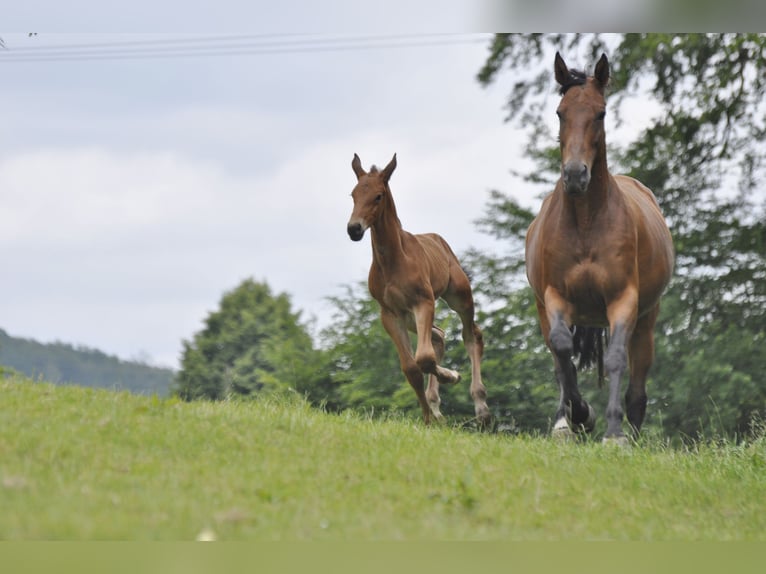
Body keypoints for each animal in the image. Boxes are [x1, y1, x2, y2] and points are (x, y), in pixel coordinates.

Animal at [346, 153, 491, 427]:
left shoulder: (423, 302)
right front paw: (428, 417)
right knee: (439, 335)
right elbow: (412, 367)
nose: (354, 229)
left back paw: (481, 408)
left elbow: (424, 358)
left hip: (459, 297)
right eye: (353, 194)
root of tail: (440, 242)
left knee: (471, 336)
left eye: (378, 196)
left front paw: (451, 376)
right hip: (410, 317)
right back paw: (436, 405)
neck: (393, 261)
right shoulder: (390, 314)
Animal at [525, 52, 675, 444]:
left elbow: (616, 358)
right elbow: (563, 351)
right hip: (544, 310)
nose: (576, 175)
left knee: (637, 382)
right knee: (559, 359)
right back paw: (565, 421)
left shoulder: (624, 300)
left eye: (601, 113)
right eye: (560, 112)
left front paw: (613, 432)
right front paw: (580, 416)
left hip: (646, 320)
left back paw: (631, 431)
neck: (586, 223)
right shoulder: (556, 297)